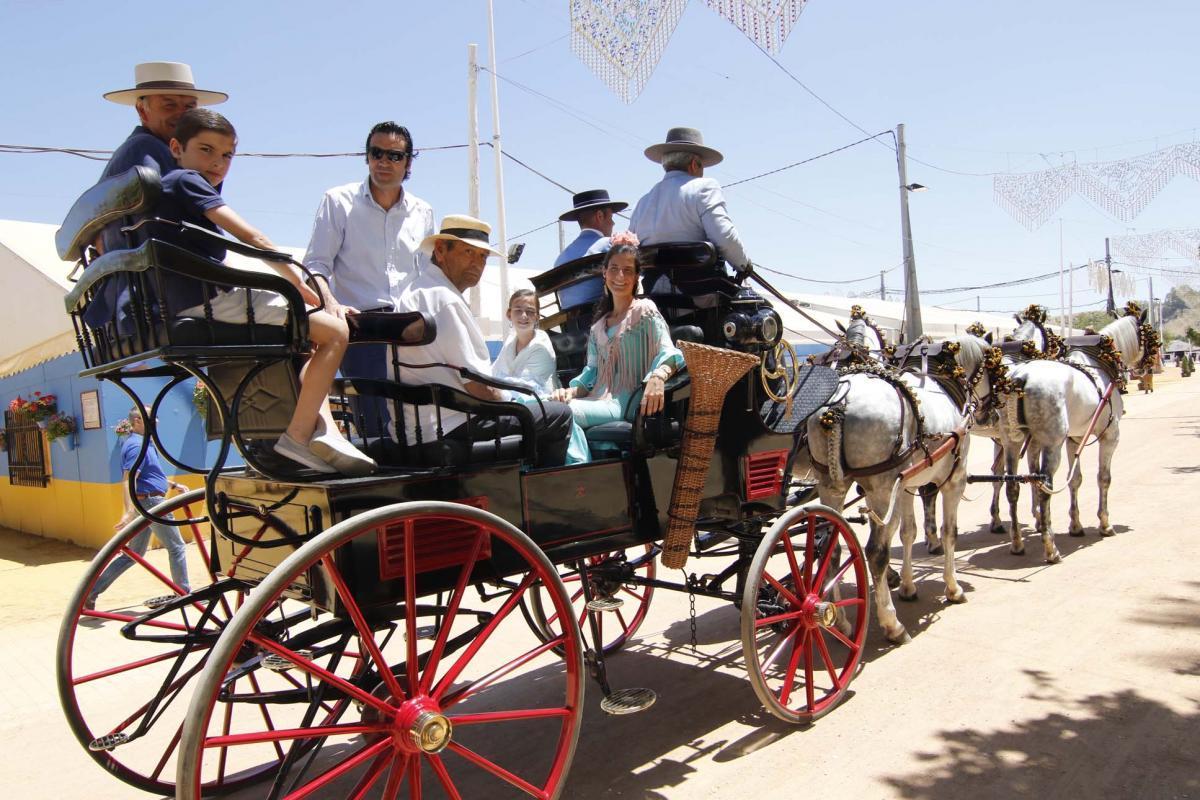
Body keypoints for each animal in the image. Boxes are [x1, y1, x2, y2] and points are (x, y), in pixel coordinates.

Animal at [807, 334, 1001, 644]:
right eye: (994, 371)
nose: (992, 413)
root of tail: (840, 403)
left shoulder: (908, 484)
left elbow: (908, 531)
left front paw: (909, 587)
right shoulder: (954, 480)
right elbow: (949, 533)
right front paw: (953, 588)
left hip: (831, 486)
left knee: (832, 547)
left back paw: (840, 620)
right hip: (881, 488)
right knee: (875, 552)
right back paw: (891, 624)